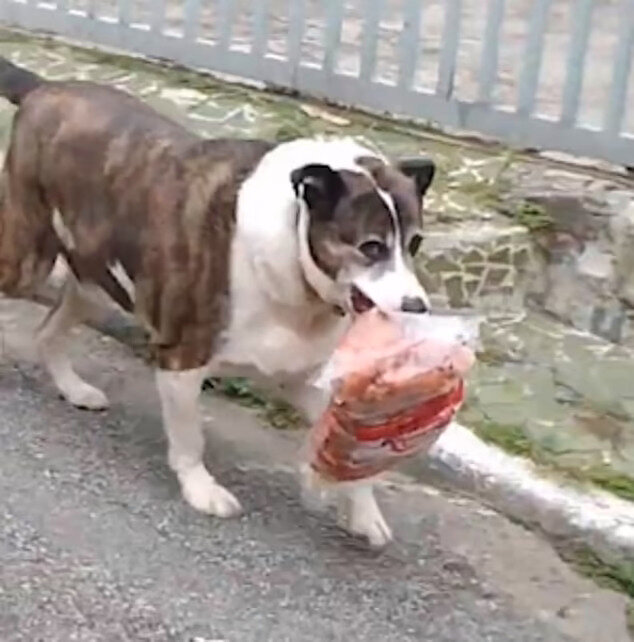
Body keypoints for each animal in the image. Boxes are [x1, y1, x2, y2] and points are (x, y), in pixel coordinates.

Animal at [0, 56, 434, 544]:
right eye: (371, 247)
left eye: (415, 243)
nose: (417, 307)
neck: (295, 248)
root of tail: (45, 88)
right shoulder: (181, 359)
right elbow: (191, 438)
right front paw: (200, 488)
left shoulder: (303, 378)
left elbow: (352, 451)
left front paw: (363, 512)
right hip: (28, 257)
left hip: (96, 281)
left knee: (50, 330)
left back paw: (72, 388)